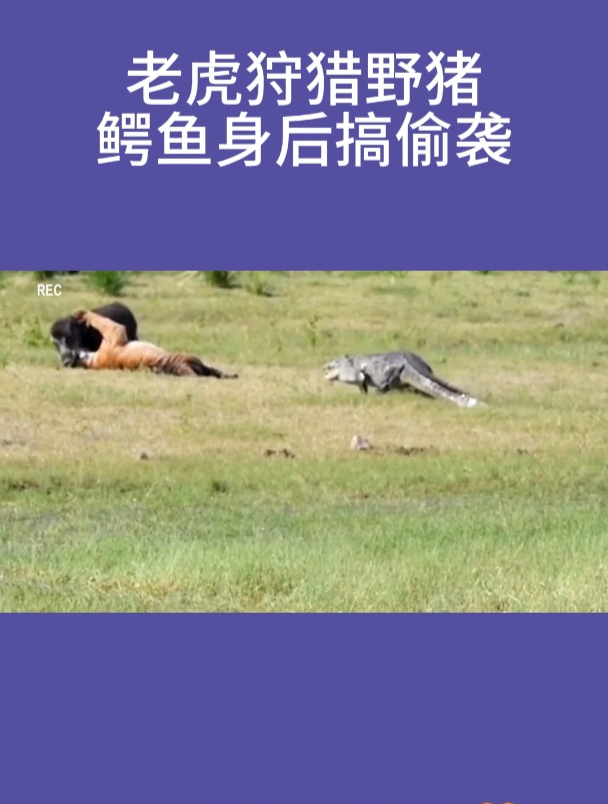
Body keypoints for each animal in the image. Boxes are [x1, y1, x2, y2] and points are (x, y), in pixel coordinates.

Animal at [69, 309, 238, 379]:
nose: (71, 354)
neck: (93, 361)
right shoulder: (114, 331)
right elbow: (100, 320)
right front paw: (83, 314)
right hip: (192, 360)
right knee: (212, 371)